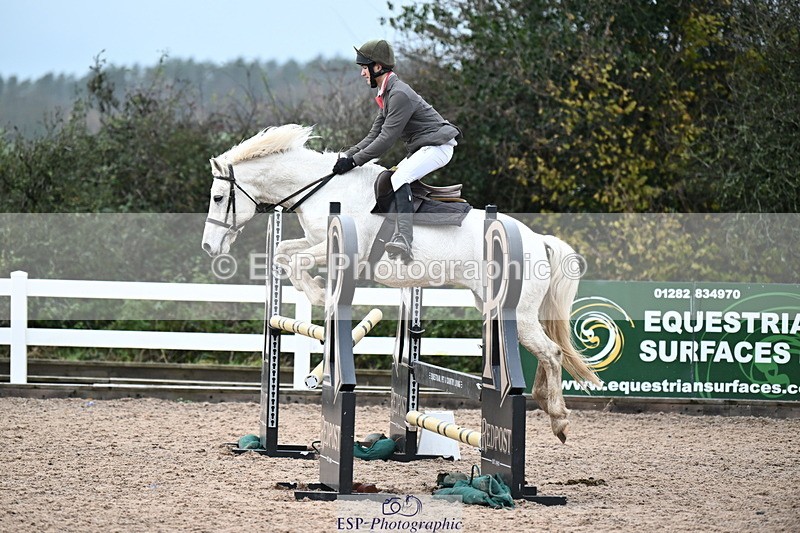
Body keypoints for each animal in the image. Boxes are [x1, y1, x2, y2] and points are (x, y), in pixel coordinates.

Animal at [201, 124, 601, 443]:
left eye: (219, 198)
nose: (209, 247)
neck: (321, 190)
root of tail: (537, 239)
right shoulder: (314, 242)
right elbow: (284, 253)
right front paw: (313, 293)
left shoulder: (342, 251)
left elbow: (296, 262)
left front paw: (318, 294)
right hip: (493, 304)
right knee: (545, 352)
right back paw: (545, 403)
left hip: (516, 309)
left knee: (551, 352)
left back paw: (558, 418)